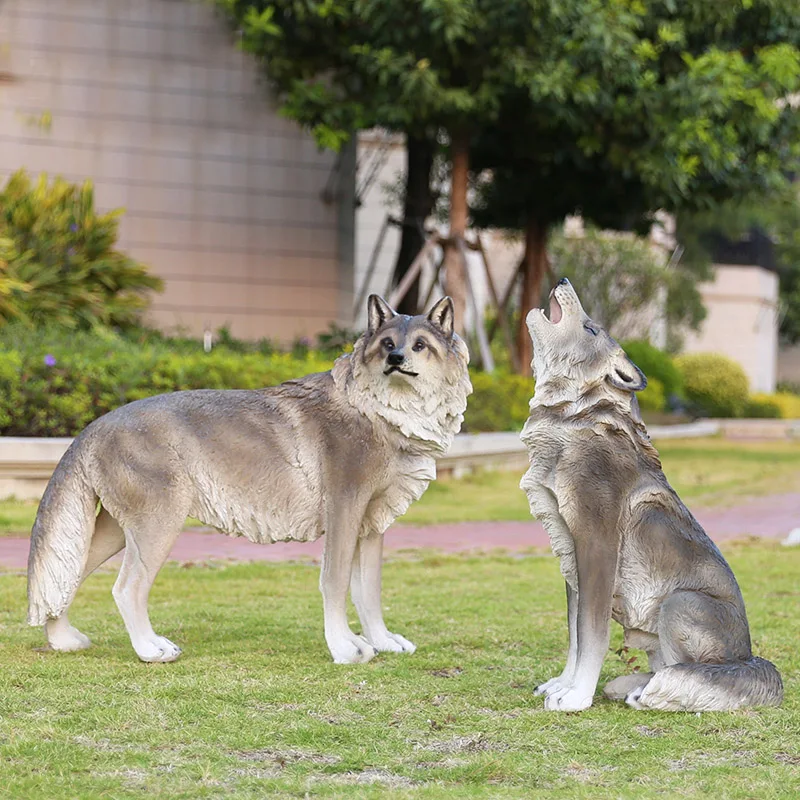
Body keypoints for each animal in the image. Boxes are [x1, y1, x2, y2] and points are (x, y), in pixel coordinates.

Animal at [28, 295, 471, 665]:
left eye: (419, 346)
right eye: (387, 343)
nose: (395, 358)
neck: (377, 409)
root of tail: (95, 425)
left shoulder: (371, 525)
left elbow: (369, 591)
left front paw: (381, 641)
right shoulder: (344, 513)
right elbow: (335, 582)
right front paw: (344, 648)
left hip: (118, 531)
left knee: (66, 576)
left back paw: (62, 639)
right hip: (157, 526)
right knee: (126, 588)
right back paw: (150, 650)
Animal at [520, 278, 782, 712]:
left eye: (591, 328)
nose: (563, 281)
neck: (571, 421)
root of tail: (749, 659)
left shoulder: (597, 545)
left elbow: (592, 634)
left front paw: (577, 696)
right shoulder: (569, 551)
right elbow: (575, 635)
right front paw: (562, 684)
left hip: (679, 602)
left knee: (698, 673)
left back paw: (649, 693)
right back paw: (633, 686)